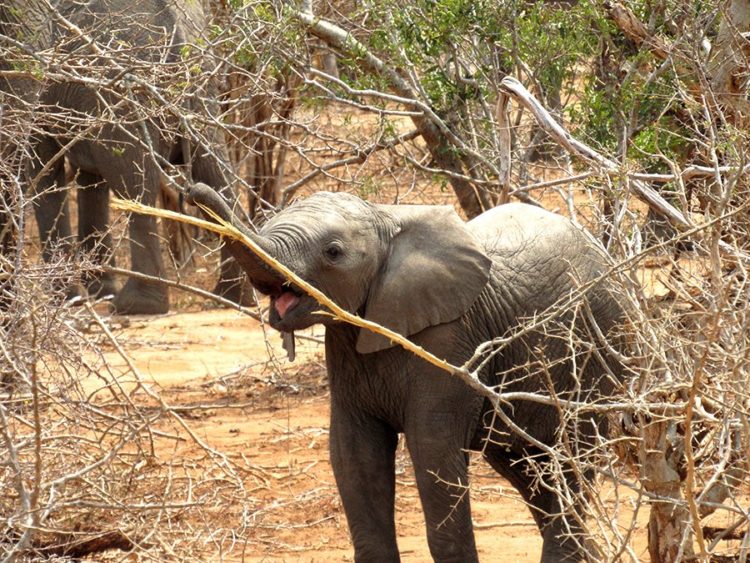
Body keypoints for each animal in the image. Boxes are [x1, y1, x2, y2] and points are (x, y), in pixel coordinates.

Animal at [13, 0, 250, 312]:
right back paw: (232, 296)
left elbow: (42, 166)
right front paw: (97, 292)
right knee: (215, 172)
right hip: (200, 86)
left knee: (135, 183)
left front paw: (70, 301)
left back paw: (136, 305)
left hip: (124, 91)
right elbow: (89, 176)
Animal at [189, 185, 628, 563]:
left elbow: (433, 452)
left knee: (571, 457)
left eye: (333, 252)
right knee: (529, 470)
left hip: (598, 349)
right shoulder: (346, 350)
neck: (387, 219)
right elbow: (354, 455)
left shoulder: (449, 344)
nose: (193, 190)